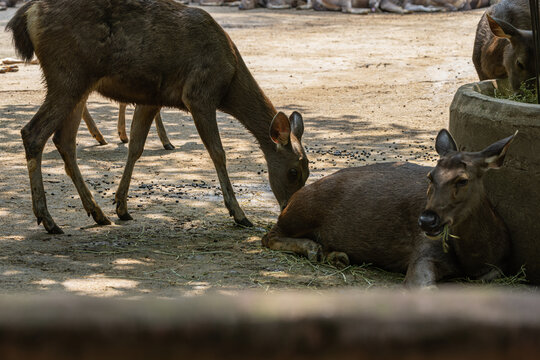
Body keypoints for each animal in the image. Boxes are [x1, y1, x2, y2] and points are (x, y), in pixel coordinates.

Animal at [6, 0, 308, 233]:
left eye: (307, 172)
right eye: (294, 172)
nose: (288, 210)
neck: (230, 82)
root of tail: (28, 13)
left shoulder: (151, 99)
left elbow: (136, 147)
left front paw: (121, 206)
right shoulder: (199, 94)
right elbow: (218, 153)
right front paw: (239, 214)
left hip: (77, 83)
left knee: (64, 141)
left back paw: (97, 213)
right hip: (67, 75)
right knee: (33, 132)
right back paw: (48, 219)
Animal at [264, 129, 516, 286]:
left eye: (463, 180)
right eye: (430, 176)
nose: (426, 220)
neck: (476, 255)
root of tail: (292, 199)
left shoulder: (502, 263)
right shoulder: (424, 250)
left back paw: (336, 256)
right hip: (302, 210)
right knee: (268, 235)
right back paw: (313, 248)